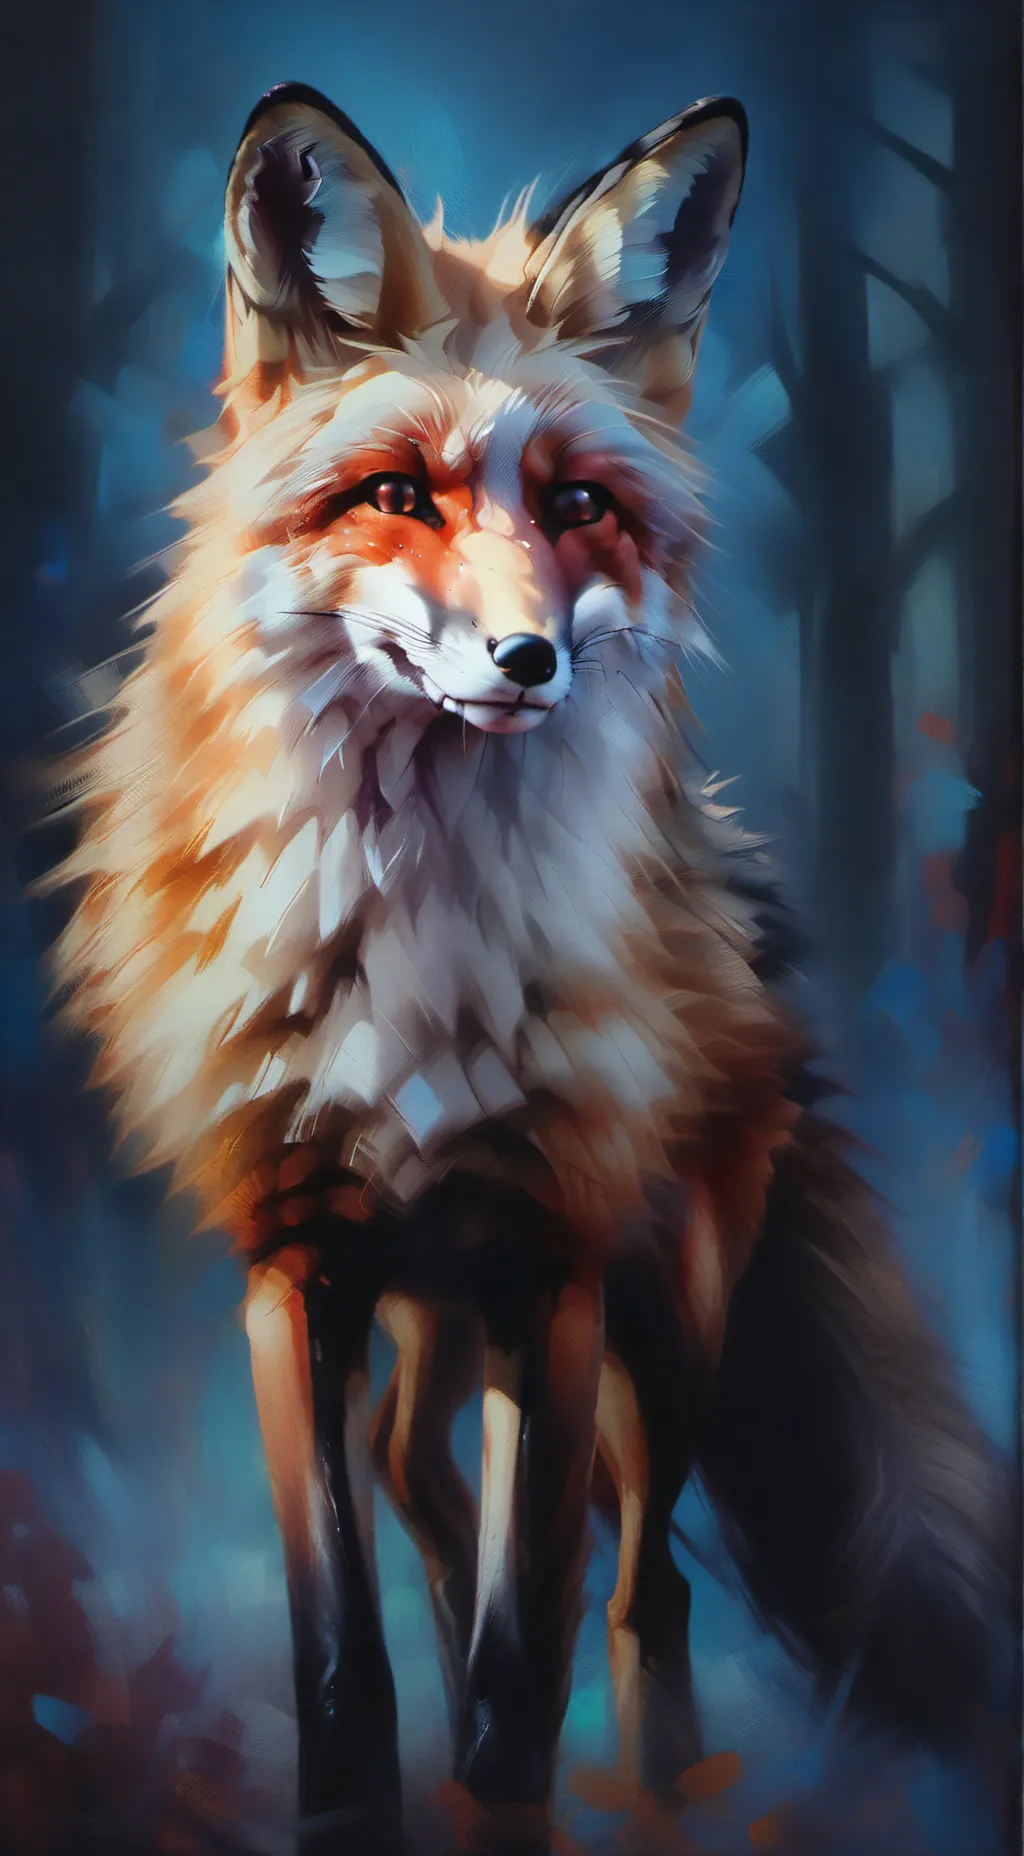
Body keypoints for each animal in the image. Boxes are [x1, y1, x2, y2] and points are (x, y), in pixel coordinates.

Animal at [44, 80, 1009, 1855]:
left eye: (577, 507)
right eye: (397, 495)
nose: (528, 659)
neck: (417, 944)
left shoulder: (552, 1262)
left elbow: (524, 1664)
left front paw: (501, 1796)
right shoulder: (298, 1267)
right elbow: (343, 1664)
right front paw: (362, 1806)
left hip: (664, 1321)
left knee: (646, 1585)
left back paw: (665, 1790)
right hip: (430, 1325)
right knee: (424, 1492)